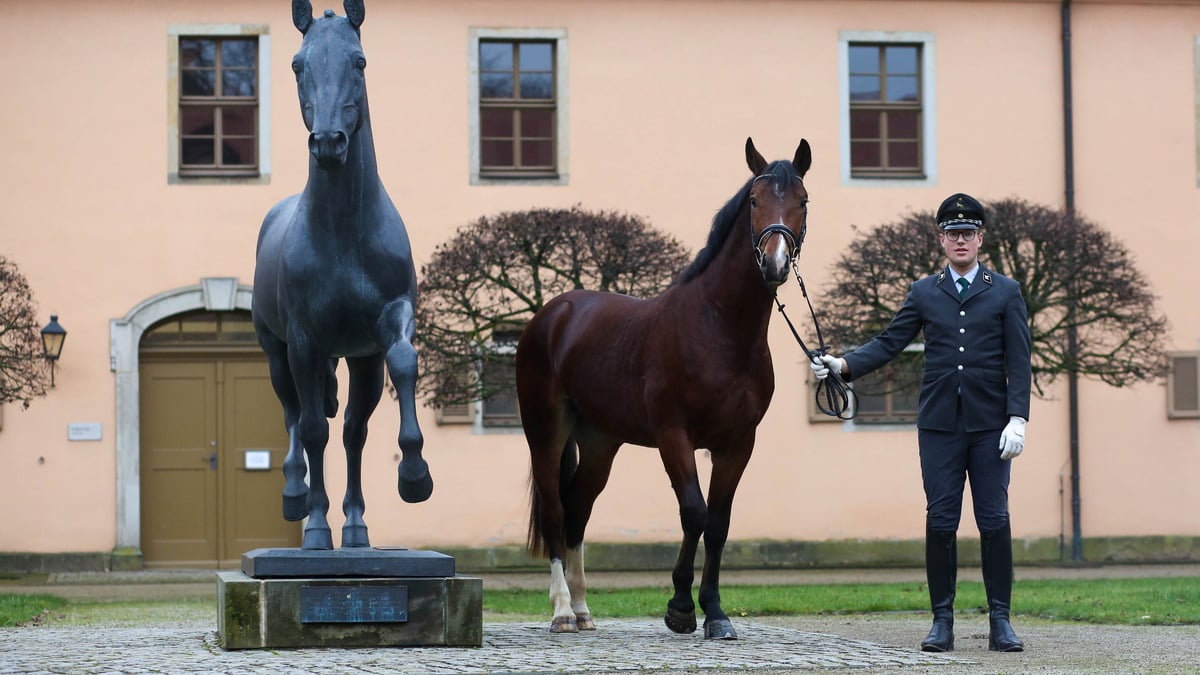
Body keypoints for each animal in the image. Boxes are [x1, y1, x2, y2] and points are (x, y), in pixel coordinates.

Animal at [248, 0, 432, 547]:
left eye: (360, 61)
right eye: (297, 65)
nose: (328, 142)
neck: (346, 234)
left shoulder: (382, 331)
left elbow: (395, 376)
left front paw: (412, 477)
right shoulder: (305, 341)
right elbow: (313, 429)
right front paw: (315, 527)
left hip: (354, 358)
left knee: (348, 427)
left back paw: (352, 521)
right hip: (276, 351)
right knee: (293, 415)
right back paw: (295, 494)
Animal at [511, 136, 811, 634]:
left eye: (803, 201)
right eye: (754, 200)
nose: (774, 263)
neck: (719, 328)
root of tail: (553, 314)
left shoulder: (738, 442)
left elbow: (719, 522)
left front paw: (715, 613)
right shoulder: (674, 435)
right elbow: (694, 511)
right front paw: (681, 608)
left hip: (600, 442)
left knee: (578, 510)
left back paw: (583, 609)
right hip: (545, 431)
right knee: (556, 509)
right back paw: (561, 611)